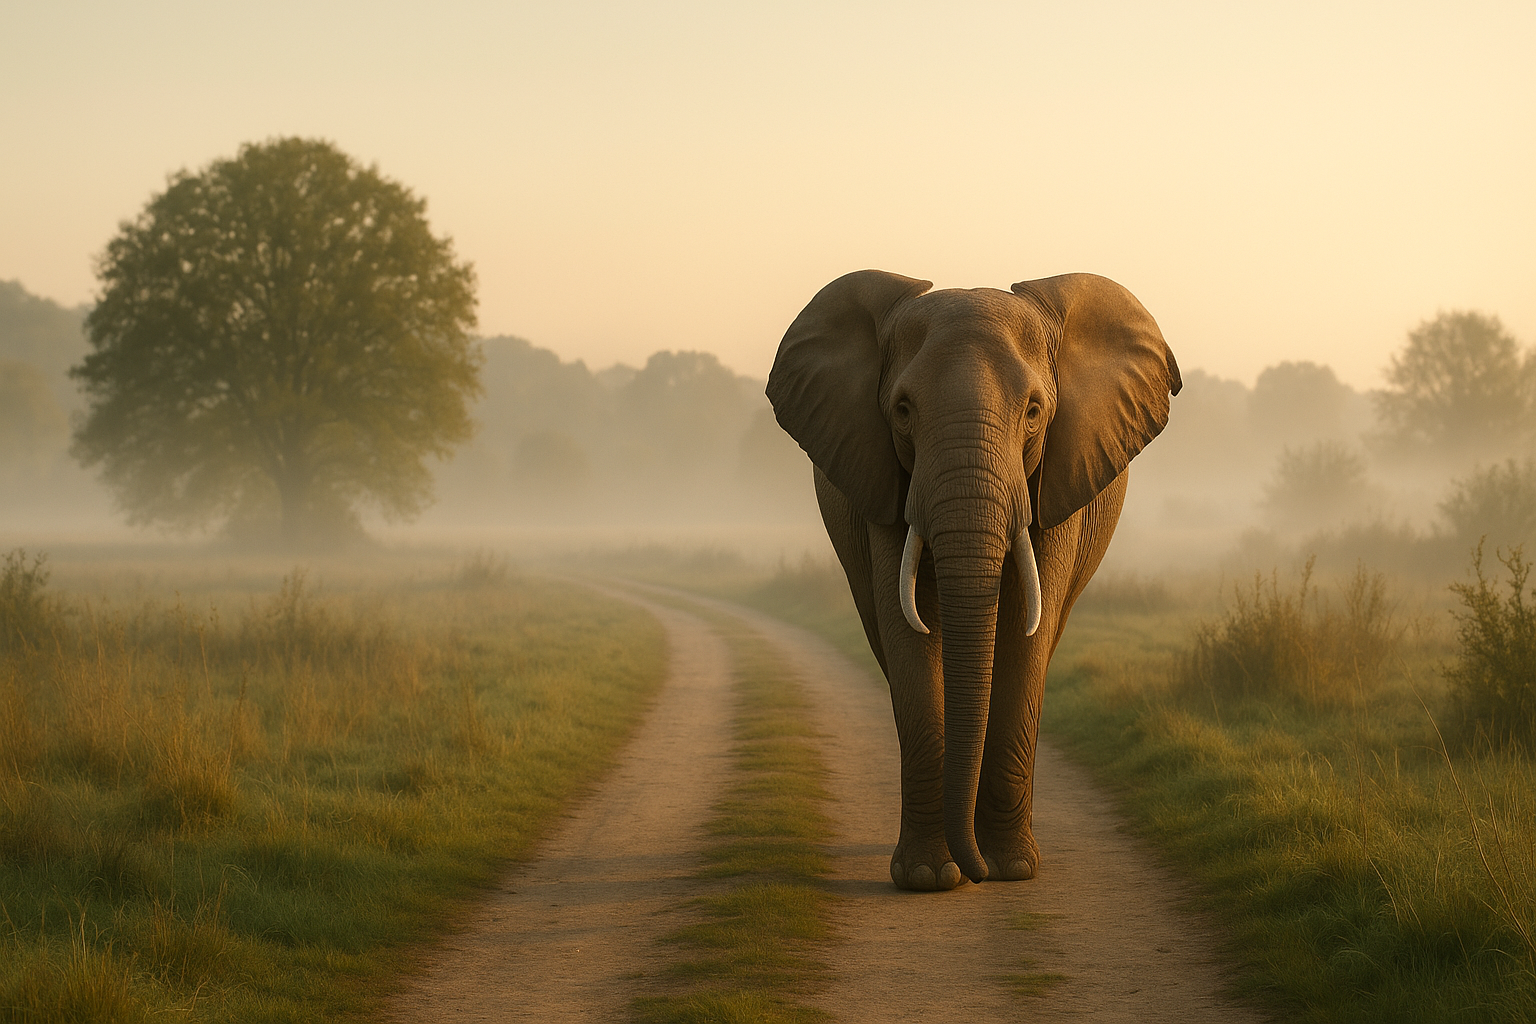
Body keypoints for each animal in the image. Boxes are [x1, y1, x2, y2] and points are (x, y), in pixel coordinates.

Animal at [766, 270, 1180, 890]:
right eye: (903, 410)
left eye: (1034, 410)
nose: (977, 872)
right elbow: (908, 632)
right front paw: (929, 877)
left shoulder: (1057, 480)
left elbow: (1026, 640)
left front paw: (1011, 869)